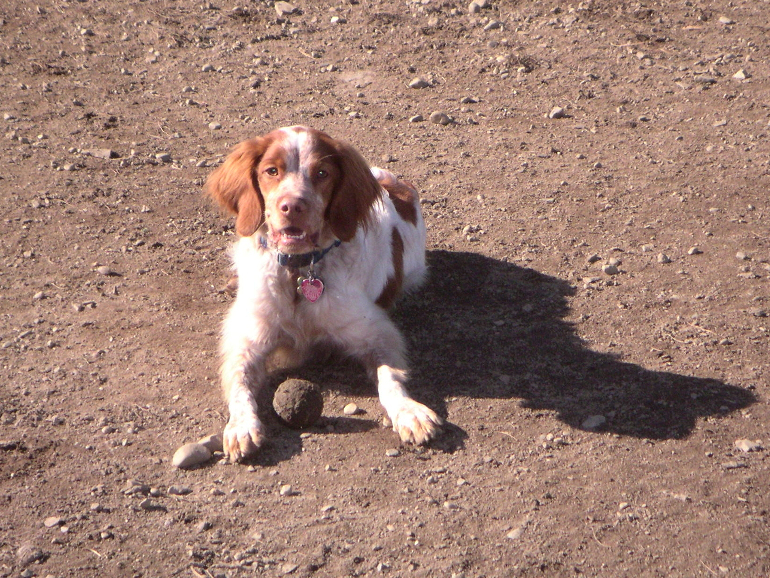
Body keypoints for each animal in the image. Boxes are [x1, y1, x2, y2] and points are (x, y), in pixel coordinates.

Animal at [206, 125, 443, 461]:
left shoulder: (376, 332)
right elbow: (240, 385)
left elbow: (390, 378)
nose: (292, 206)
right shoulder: (247, 340)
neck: (298, 272)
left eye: (322, 173)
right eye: (271, 171)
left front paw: (410, 412)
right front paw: (241, 426)